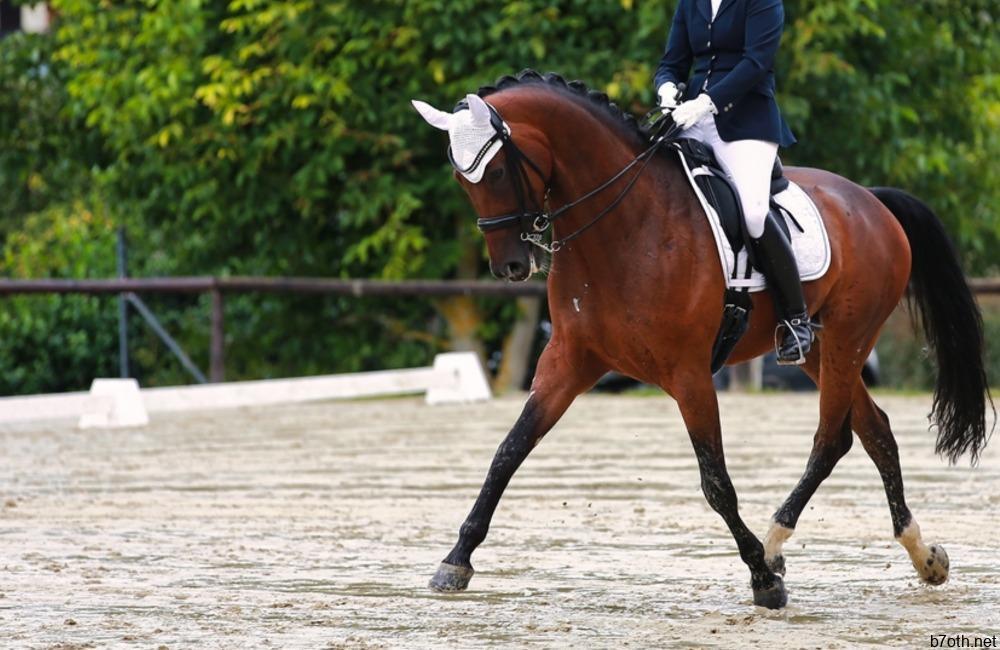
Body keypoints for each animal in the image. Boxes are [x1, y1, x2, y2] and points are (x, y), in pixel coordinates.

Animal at [411, 70, 992, 608]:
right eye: (463, 178)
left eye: (498, 170)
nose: (511, 266)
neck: (623, 227)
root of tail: (871, 200)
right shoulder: (568, 361)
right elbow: (508, 452)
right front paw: (456, 561)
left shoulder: (688, 375)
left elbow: (716, 482)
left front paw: (762, 579)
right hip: (821, 349)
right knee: (875, 431)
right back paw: (923, 555)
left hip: (850, 338)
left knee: (833, 438)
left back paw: (776, 545)